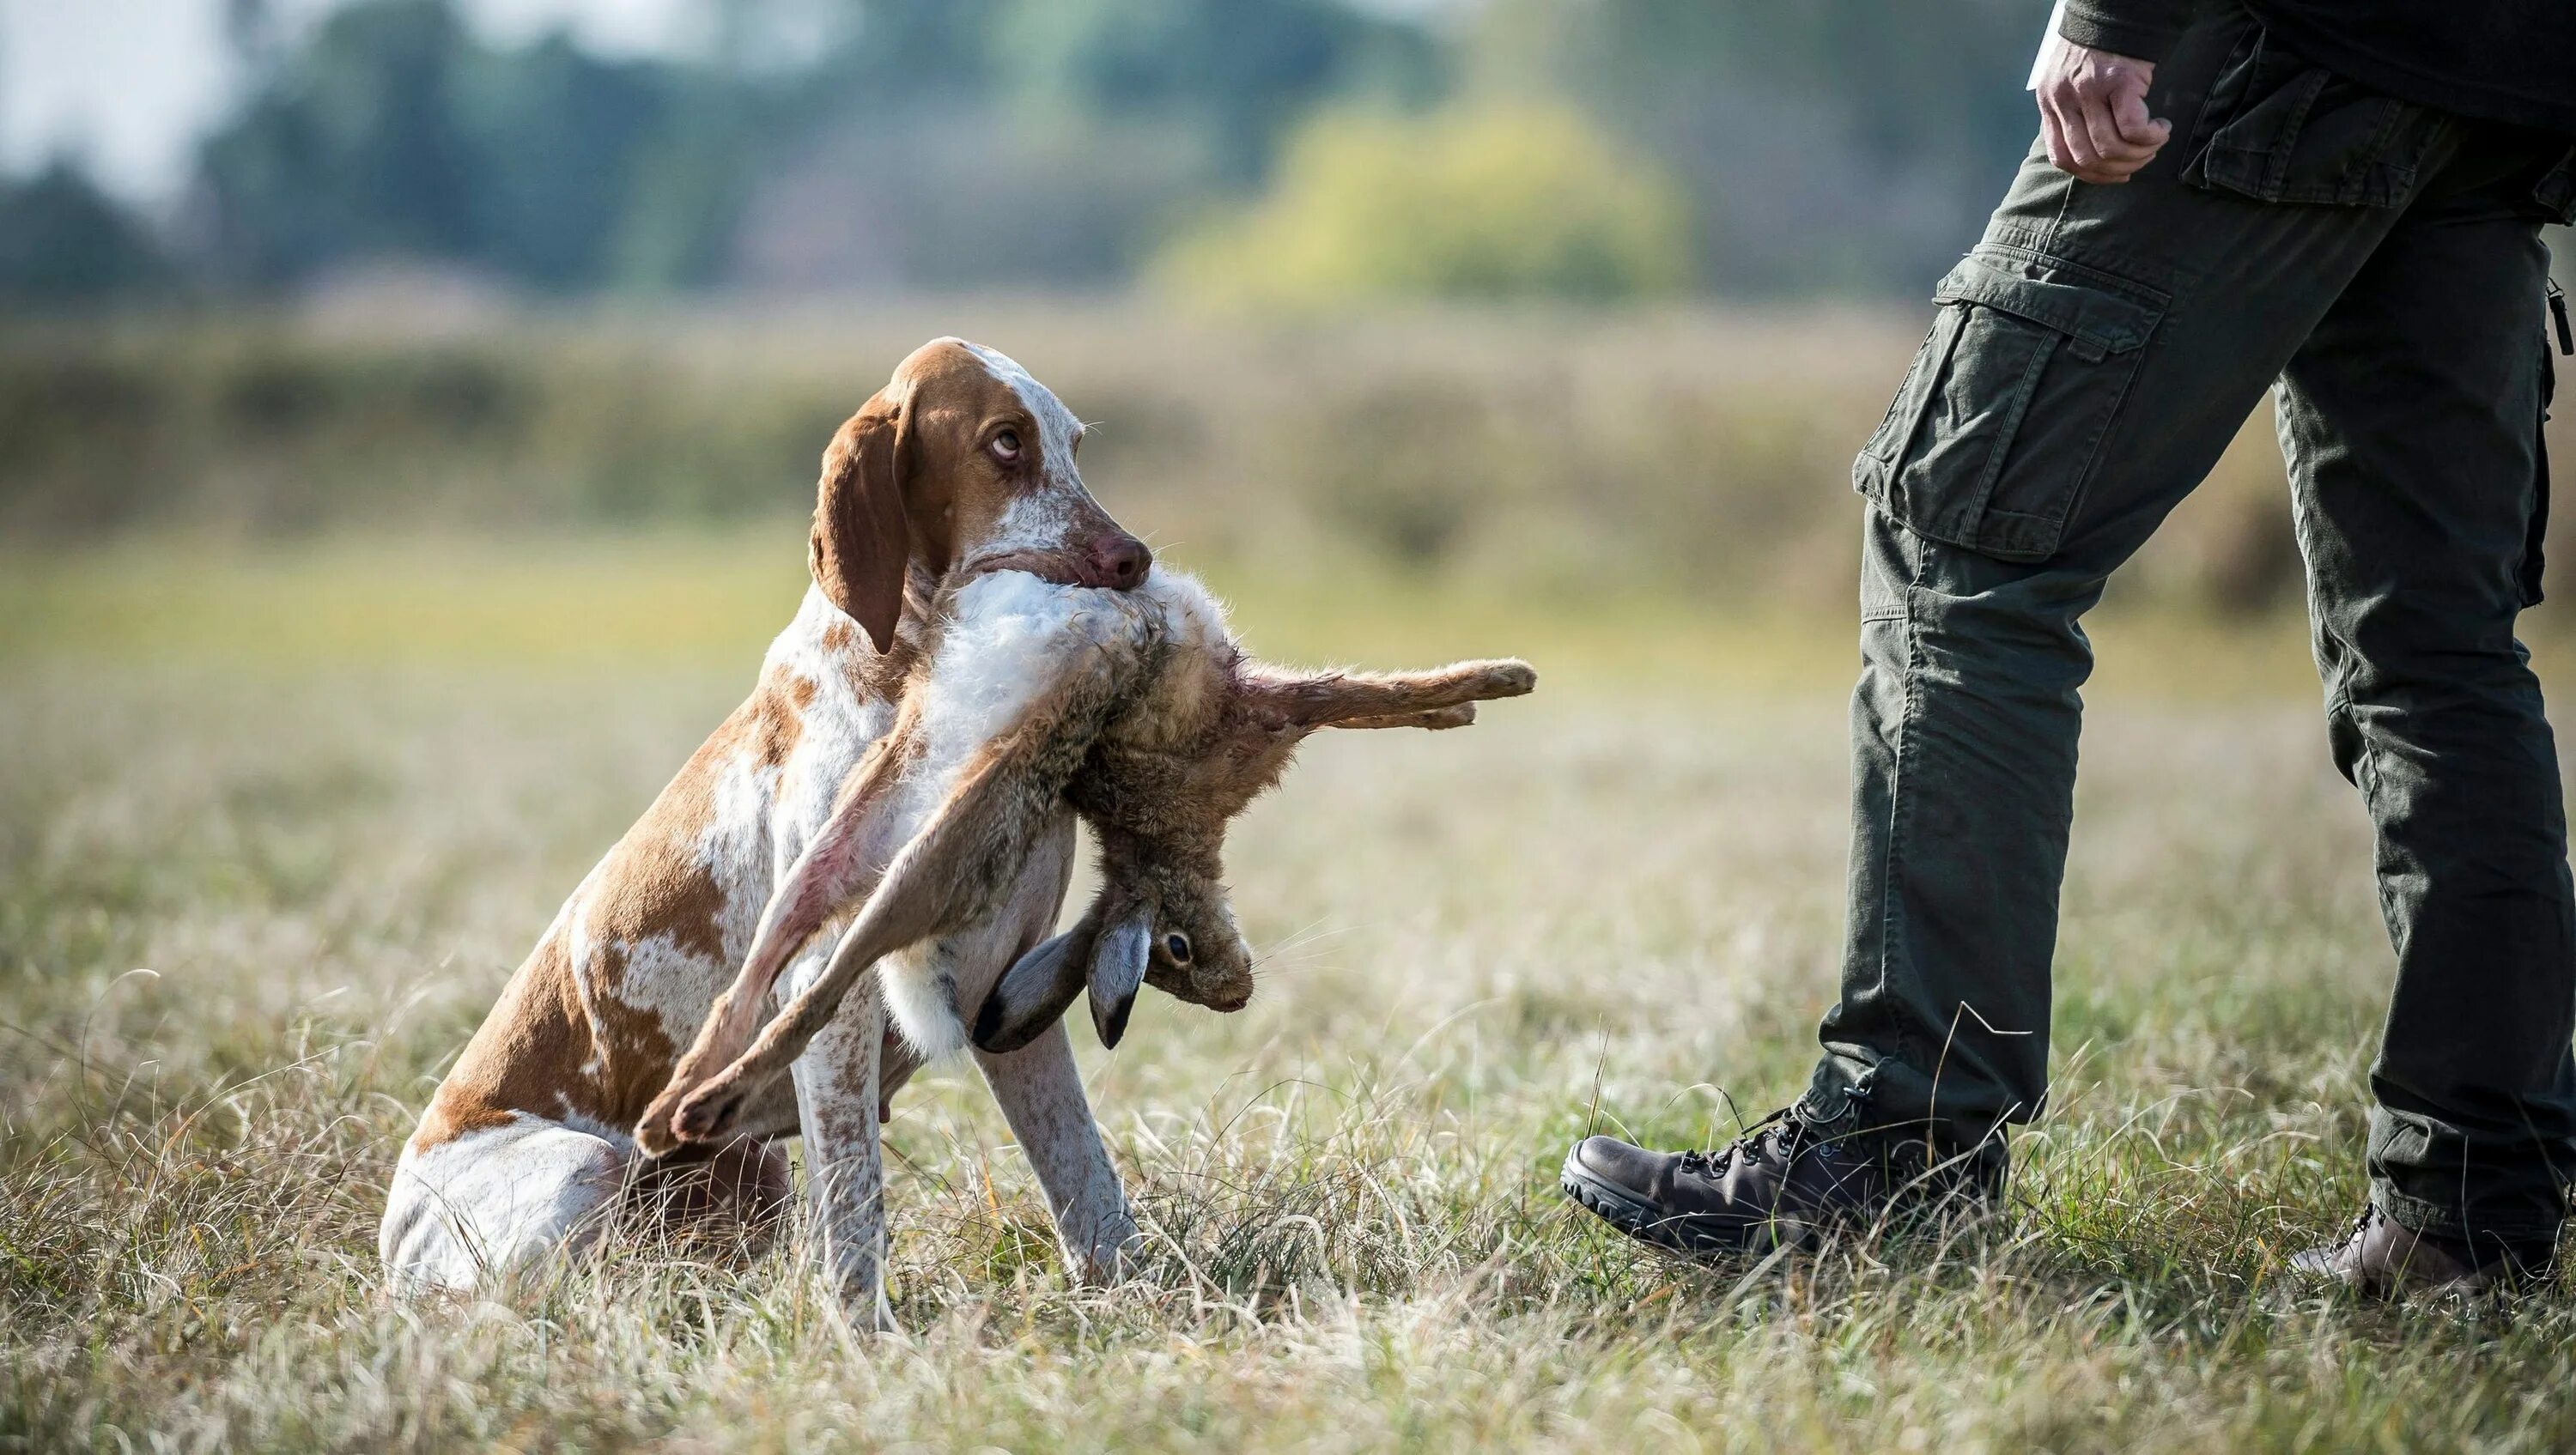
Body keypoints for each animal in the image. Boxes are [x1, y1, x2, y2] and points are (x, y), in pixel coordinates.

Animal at [374, 337, 1149, 1319]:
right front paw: (868, 1338)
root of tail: (390, 1246)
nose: (1135, 560)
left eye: (1073, 444)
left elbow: (1088, 1183)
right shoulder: (832, 994)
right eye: (1005, 441)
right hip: (586, 1167)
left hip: (750, 1173)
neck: (907, 667)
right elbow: (857, 1213)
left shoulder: (1005, 988)